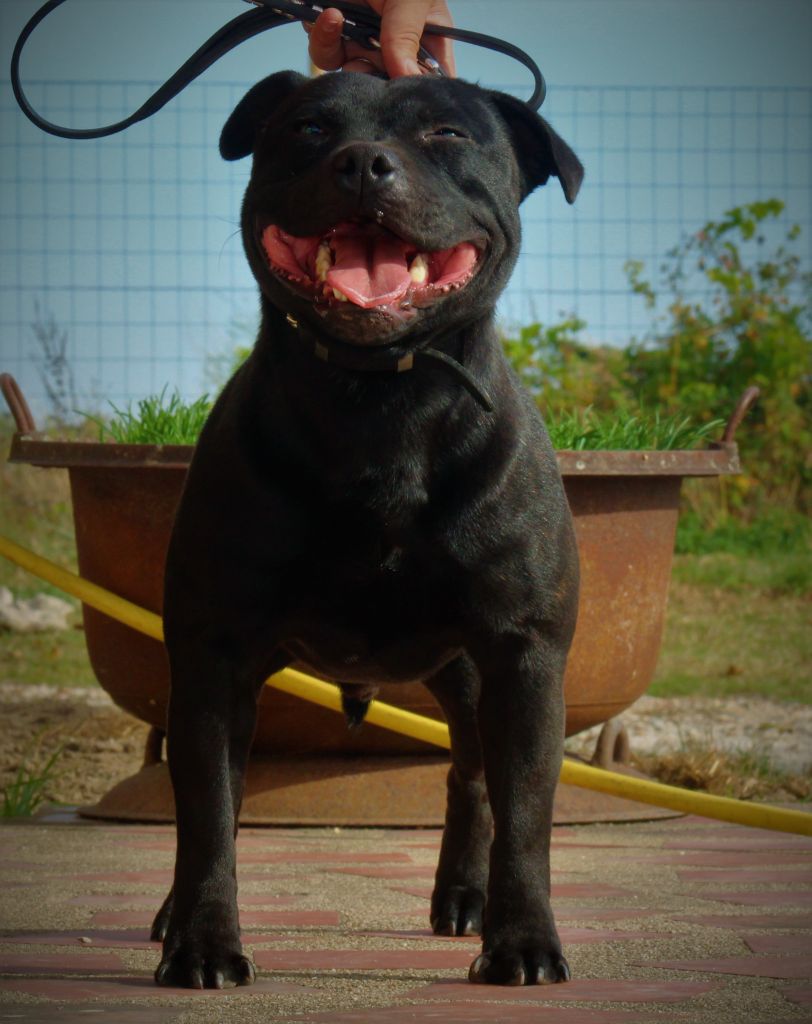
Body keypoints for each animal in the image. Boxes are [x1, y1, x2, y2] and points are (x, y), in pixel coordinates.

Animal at [151, 68, 581, 987]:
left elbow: (527, 815)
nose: (362, 163)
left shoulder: (524, 657)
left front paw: (525, 942)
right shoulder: (212, 655)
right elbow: (207, 813)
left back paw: (467, 900)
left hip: (467, 678)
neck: (380, 402)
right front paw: (202, 943)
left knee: (473, 780)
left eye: (448, 133)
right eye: (310, 128)